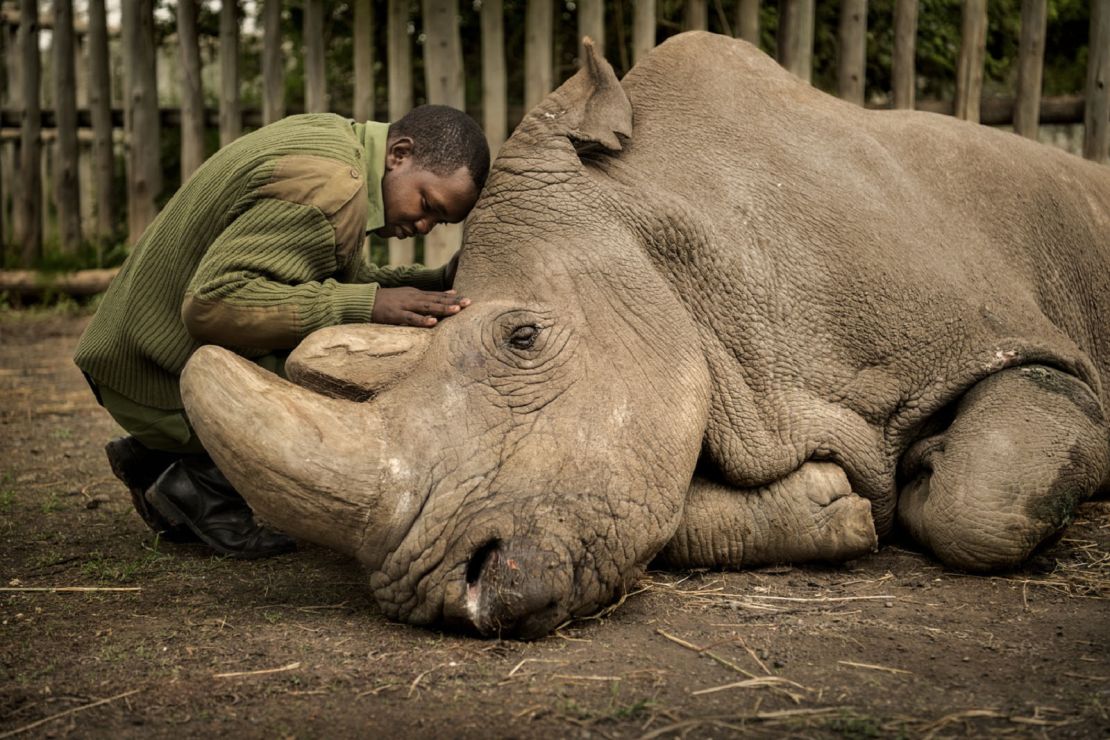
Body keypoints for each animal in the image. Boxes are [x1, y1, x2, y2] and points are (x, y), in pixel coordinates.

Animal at [182, 31, 1110, 639]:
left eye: (523, 338)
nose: (450, 593)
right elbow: (660, 509)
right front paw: (836, 506)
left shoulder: (1013, 342)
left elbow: (981, 500)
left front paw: (925, 476)